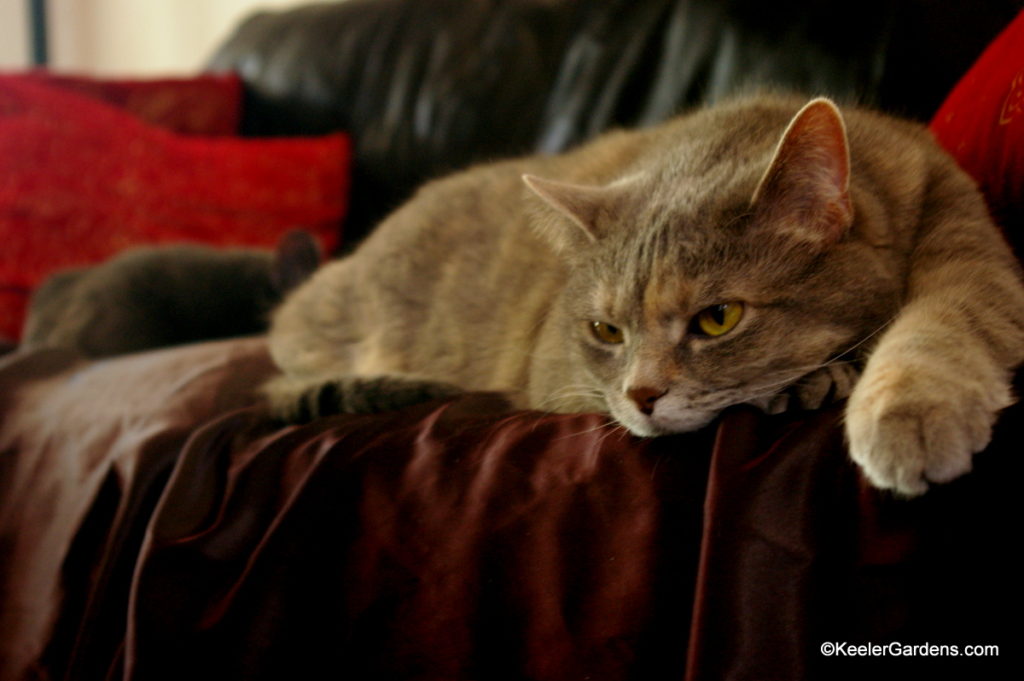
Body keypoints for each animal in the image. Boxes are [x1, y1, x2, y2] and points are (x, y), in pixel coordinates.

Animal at [266, 94, 1024, 493]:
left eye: (718, 319)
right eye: (607, 331)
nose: (641, 396)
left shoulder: (966, 244)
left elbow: (944, 324)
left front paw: (903, 407)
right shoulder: (558, 377)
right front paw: (816, 382)